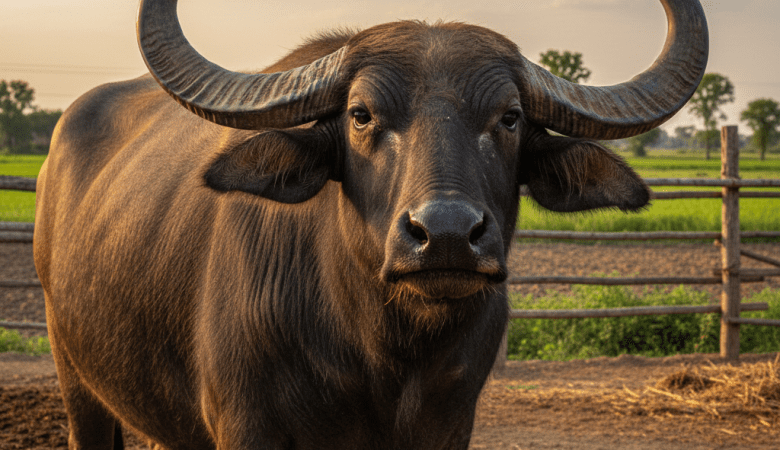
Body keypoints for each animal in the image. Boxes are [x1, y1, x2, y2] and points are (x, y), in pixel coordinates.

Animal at [33, 0, 707, 448]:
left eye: (510, 117)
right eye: (361, 114)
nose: (446, 235)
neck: (381, 356)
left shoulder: (450, 427)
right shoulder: (245, 425)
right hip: (76, 379)